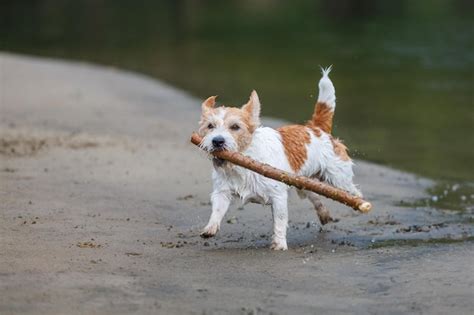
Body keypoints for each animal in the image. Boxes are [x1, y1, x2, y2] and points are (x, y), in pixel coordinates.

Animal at [198, 68, 362, 251]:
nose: (217, 141)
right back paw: (323, 213)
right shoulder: (223, 191)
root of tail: (316, 128)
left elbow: (280, 221)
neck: (243, 162)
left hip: (339, 179)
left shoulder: (278, 197)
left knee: (353, 191)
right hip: (302, 182)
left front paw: (279, 244)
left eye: (235, 127)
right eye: (210, 126)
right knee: (313, 194)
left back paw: (360, 203)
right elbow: (217, 210)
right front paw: (210, 228)